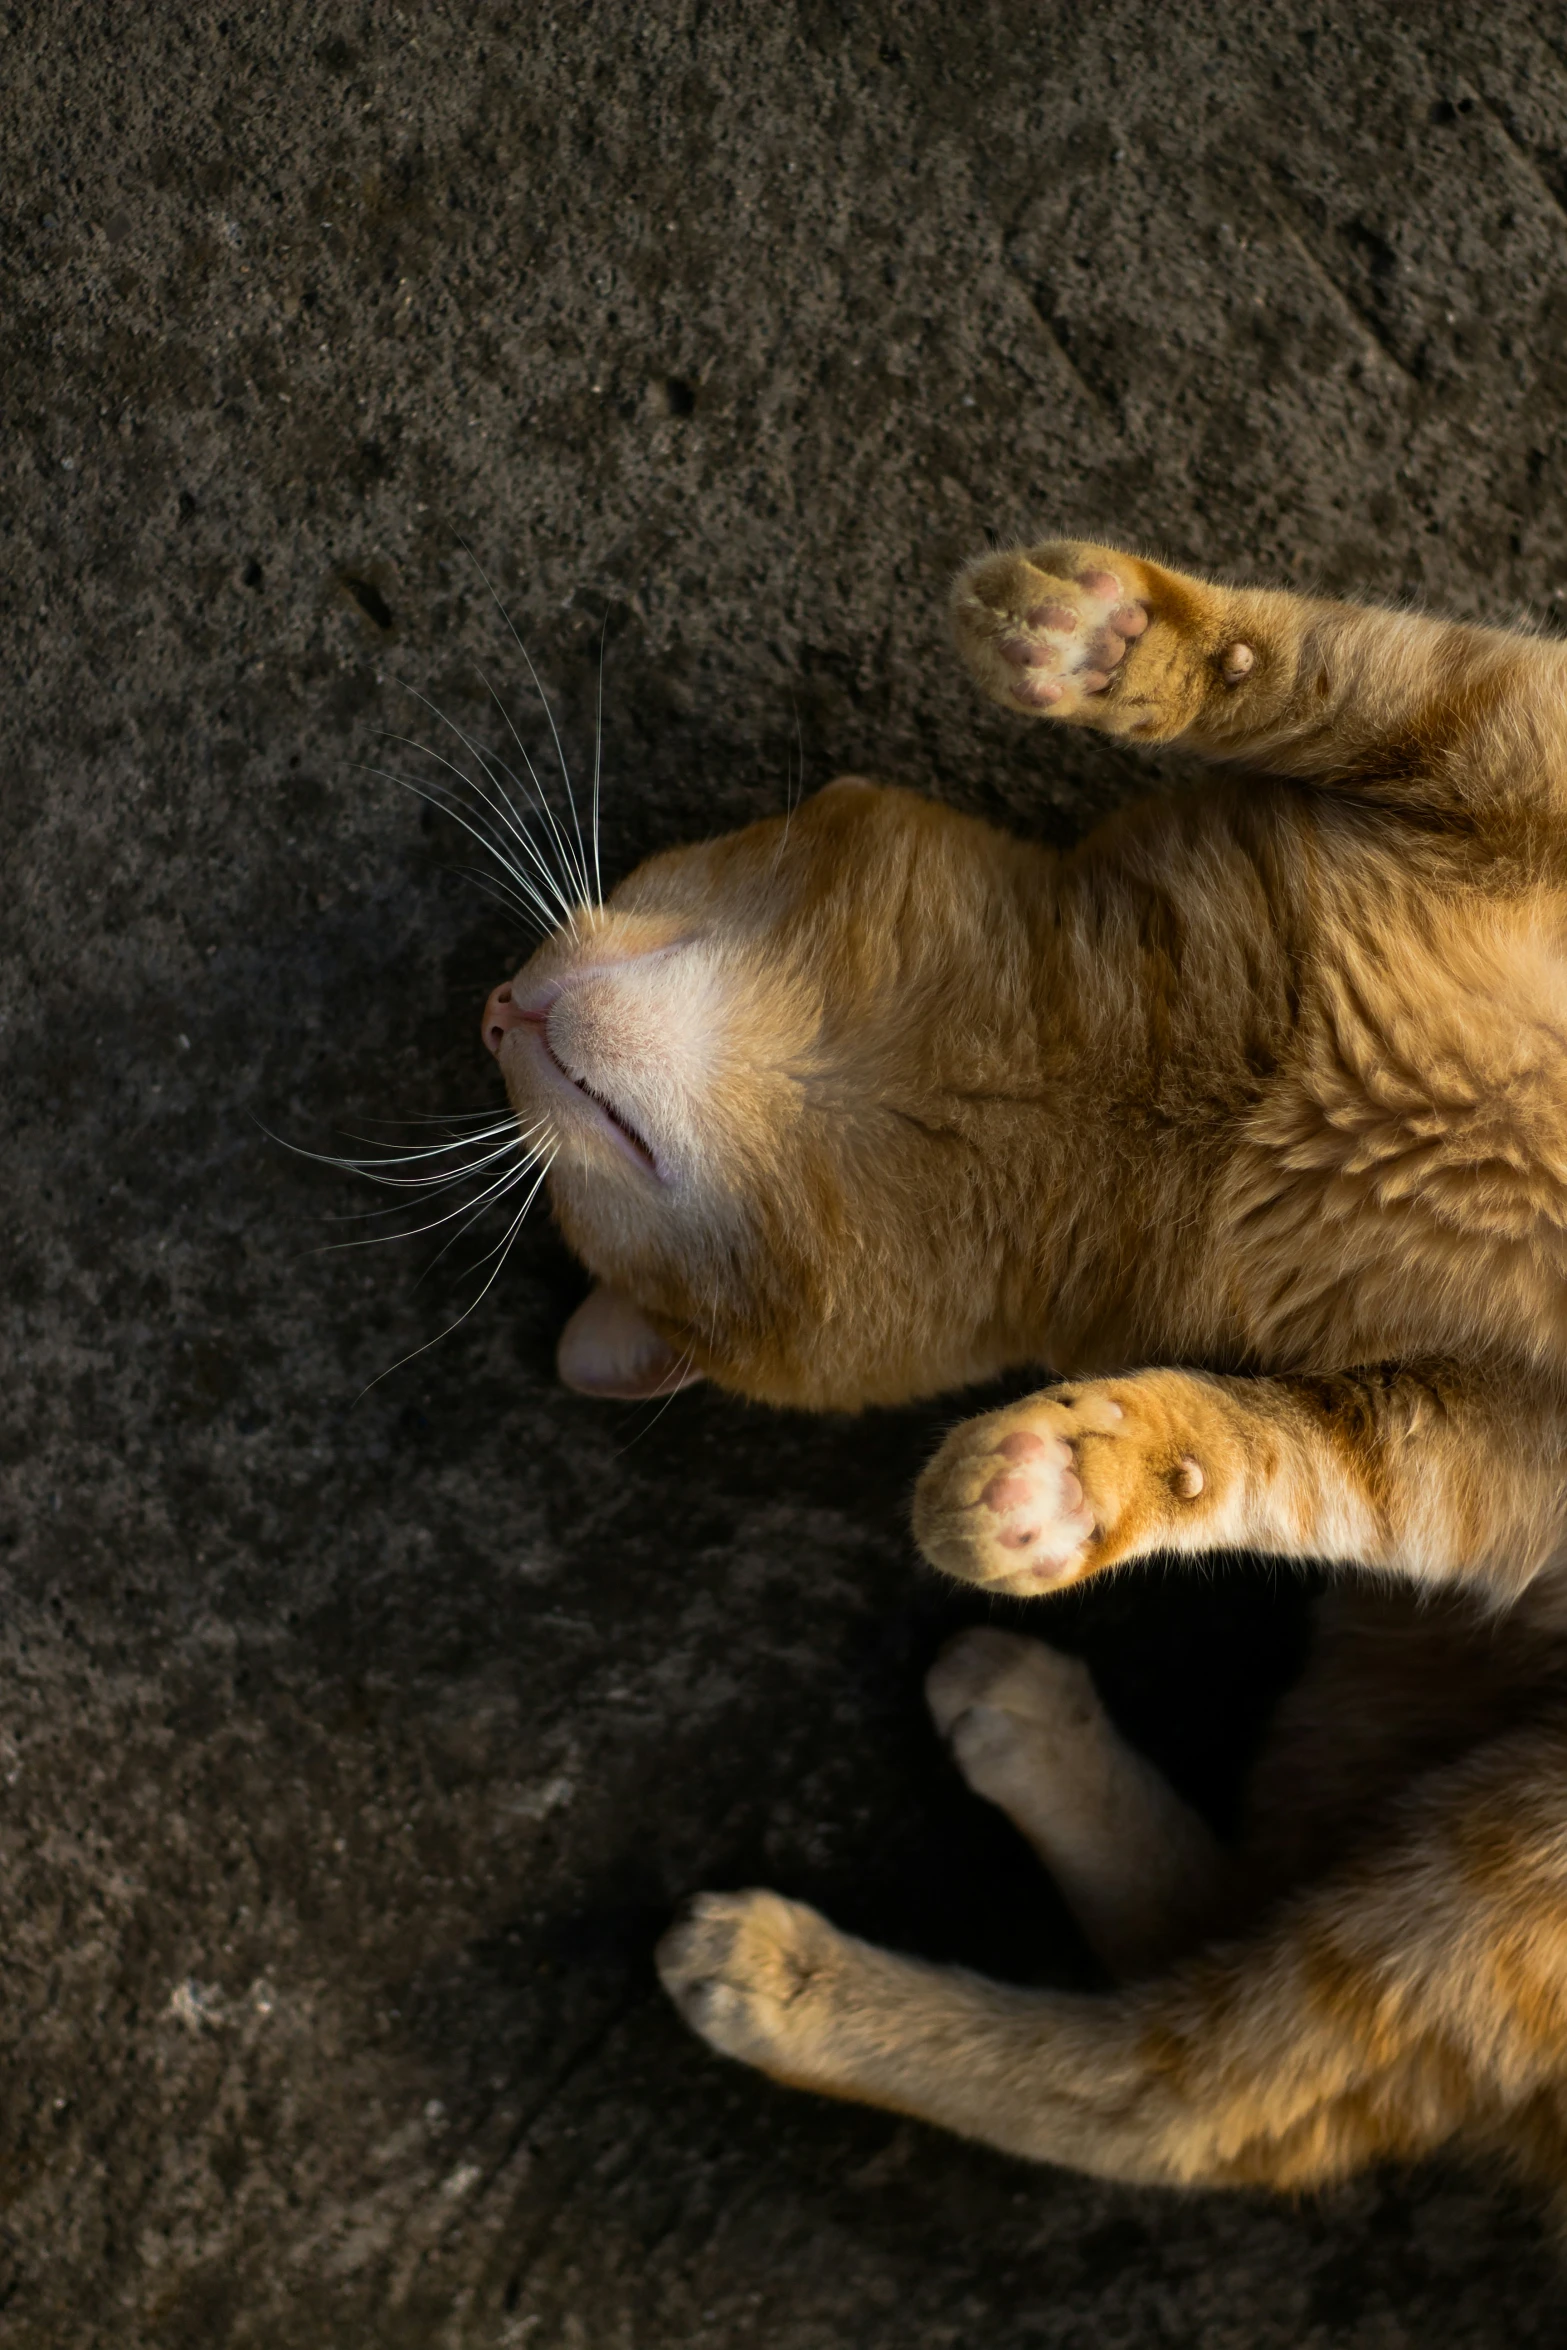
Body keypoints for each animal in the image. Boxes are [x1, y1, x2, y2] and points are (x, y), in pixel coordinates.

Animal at [481, 549, 1567, 2199]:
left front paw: (1115, 636)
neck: (1137, 1086)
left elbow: (1379, 674)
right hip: (1487, 1864)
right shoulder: (1485, 1463)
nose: (492, 1011)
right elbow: (1274, 1455)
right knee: (1180, 2089)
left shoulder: (1520, 737)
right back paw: (812, 1937)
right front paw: (1071, 1476)